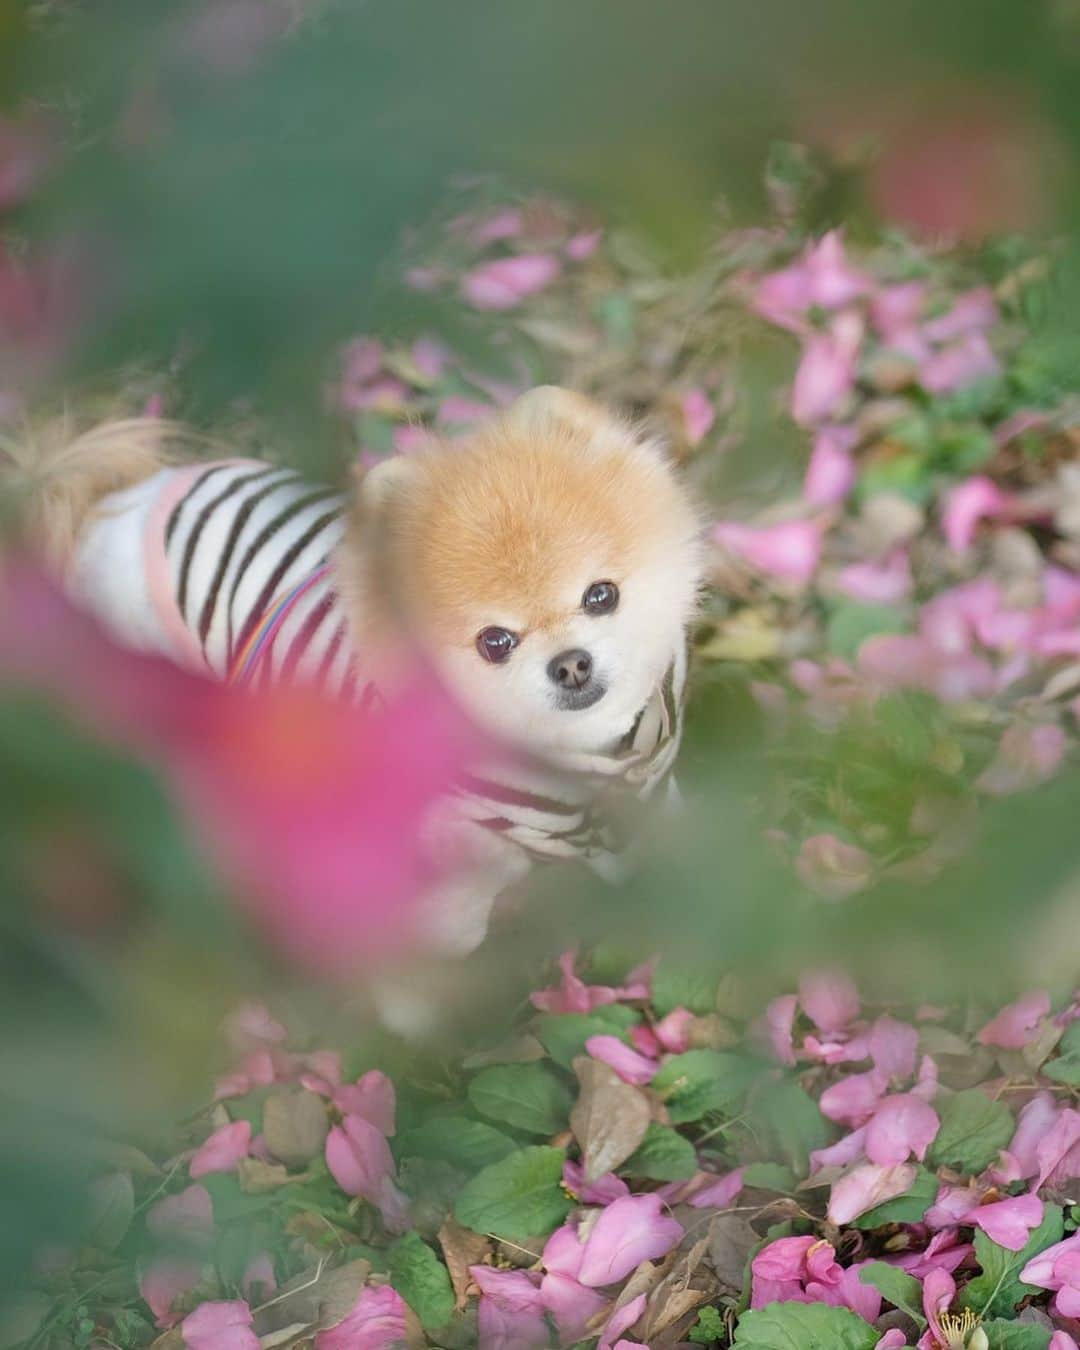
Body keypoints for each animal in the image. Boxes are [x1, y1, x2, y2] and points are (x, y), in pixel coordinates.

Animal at [12, 391, 702, 1031]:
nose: (572, 664)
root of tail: (107, 504)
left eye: (601, 596)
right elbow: (449, 915)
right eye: (495, 642)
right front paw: (423, 1005)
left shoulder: (645, 797)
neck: (583, 759)